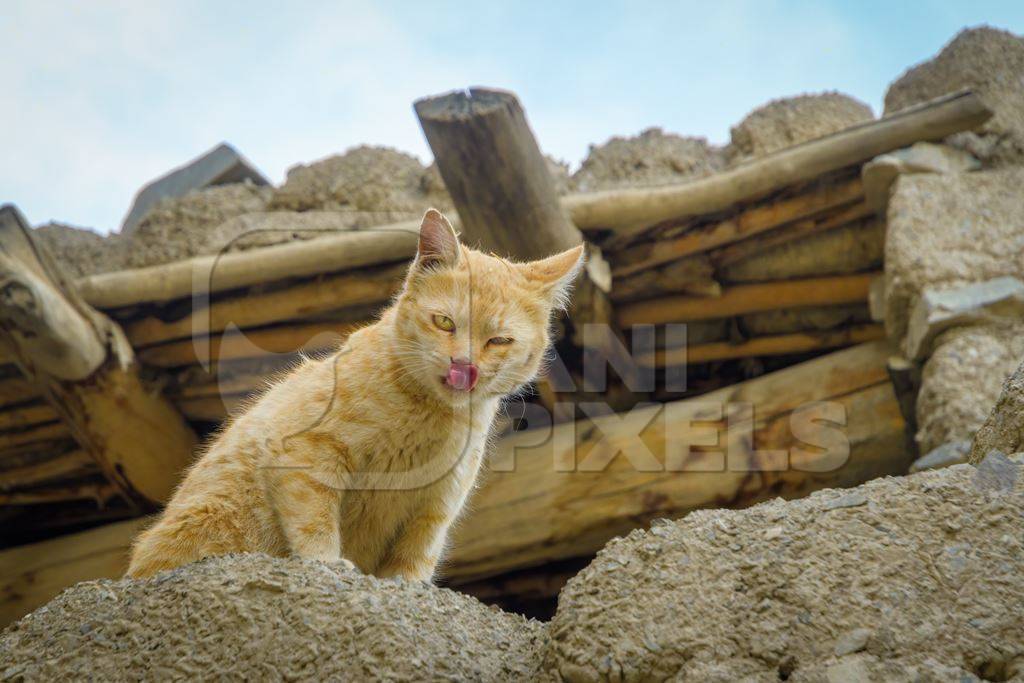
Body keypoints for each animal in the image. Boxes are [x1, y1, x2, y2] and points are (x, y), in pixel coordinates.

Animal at [125, 209, 585, 581]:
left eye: (498, 340)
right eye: (444, 322)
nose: (463, 366)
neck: (431, 419)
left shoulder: (434, 511)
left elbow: (411, 566)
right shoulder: (304, 455)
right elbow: (315, 523)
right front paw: (328, 562)